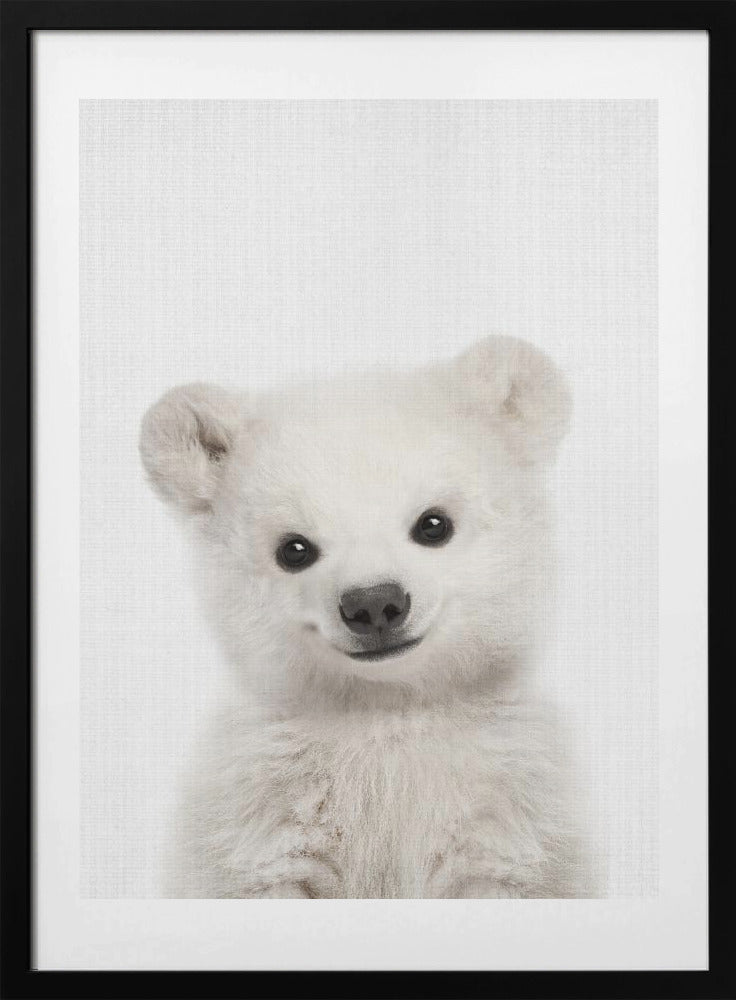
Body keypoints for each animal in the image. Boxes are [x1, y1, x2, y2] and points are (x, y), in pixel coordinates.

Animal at [140, 335, 589, 899]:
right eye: (294, 549)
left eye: (434, 524)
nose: (374, 603)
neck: (384, 712)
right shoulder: (260, 816)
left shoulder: (509, 812)